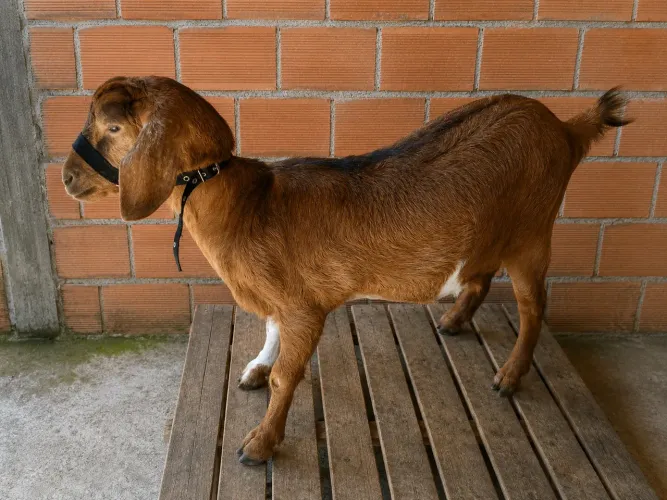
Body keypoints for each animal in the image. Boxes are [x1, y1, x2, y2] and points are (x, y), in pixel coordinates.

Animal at [62, 76, 630, 465]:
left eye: (113, 128)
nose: (67, 178)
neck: (249, 205)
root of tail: (565, 128)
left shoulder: (305, 307)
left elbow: (288, 374)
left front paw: (259, 444)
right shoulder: (282, 300)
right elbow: (269, 333)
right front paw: (255, 368)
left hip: (534, 230)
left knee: (534, 306)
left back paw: (509, 376)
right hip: (493, 231)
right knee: (481, 273)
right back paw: (454, 321)